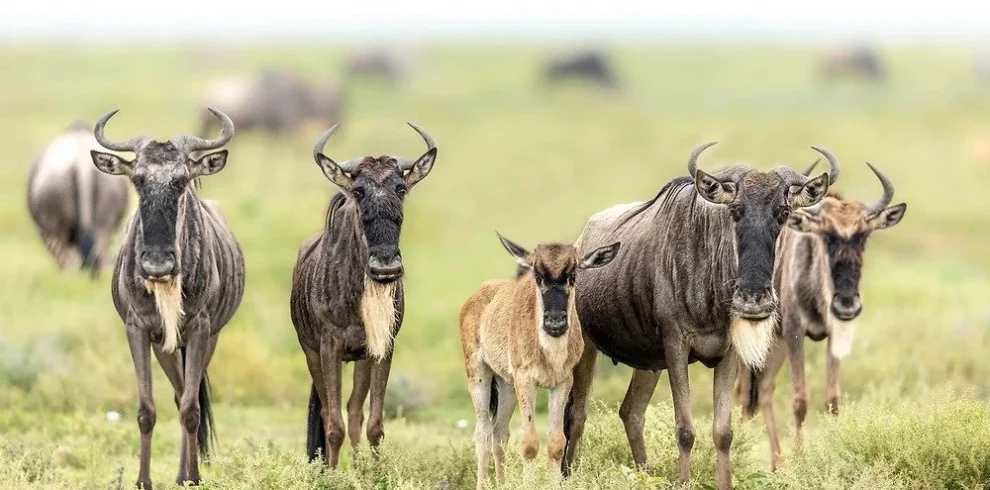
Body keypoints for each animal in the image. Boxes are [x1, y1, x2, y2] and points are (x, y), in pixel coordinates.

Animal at [460, 233, 620, 490]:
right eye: (537, 276)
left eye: (573, 275)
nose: (555, 322)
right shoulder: (526, 381)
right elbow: (529, 443)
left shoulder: (561, 383)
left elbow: (556, 443)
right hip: (478, 375)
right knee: (483, 432)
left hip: (506, 384)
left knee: (499, 433)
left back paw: (503, 483)